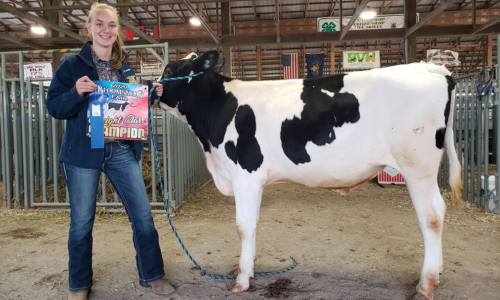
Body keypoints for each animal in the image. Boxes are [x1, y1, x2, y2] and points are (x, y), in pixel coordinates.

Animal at [158, 50, 462, 298]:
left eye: (169, 70)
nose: (152, 89)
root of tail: (430, 69)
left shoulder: (245, 175)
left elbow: (243, 226)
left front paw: (242, 280)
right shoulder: (255, 181)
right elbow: (253, 223)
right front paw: (251, 268)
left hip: (417, 167)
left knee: (432, 217)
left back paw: (425, 285)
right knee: (440, 211)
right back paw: (438, 270)